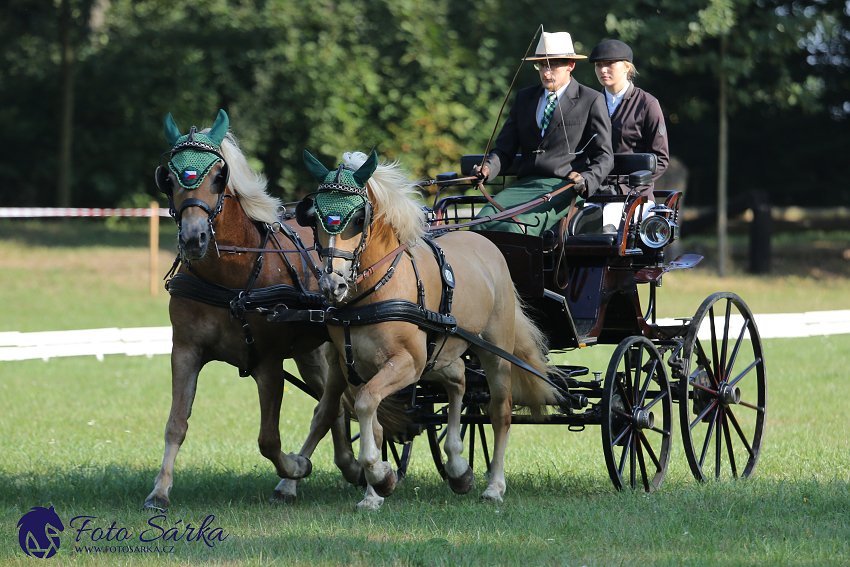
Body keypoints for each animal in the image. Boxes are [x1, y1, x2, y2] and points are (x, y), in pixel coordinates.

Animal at [143, 110, 362, 506]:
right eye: (168, 176)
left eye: (219, 176)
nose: (193, 238)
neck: (230, 276)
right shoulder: (185, 351)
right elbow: (176, 424)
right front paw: (161, 489)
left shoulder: (268, 363)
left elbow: (268, 439)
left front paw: (296, 466)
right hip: (308, 353)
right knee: (333, 406)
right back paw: (344, 466)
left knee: (330, 406)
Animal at [292, 151, 564, 510]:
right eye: (315, 218)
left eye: (359, 218)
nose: (332, 284)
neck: (375, 293)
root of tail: (485, 241)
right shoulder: (350, 366)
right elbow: (372, 421)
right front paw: (374, 491)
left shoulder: (408, 363)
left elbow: (366, 404)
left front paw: (379, 474)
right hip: (442, 353)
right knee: (459, 381)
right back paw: (458, 466)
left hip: (494, 350)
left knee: (499, 412)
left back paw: (494, 486)